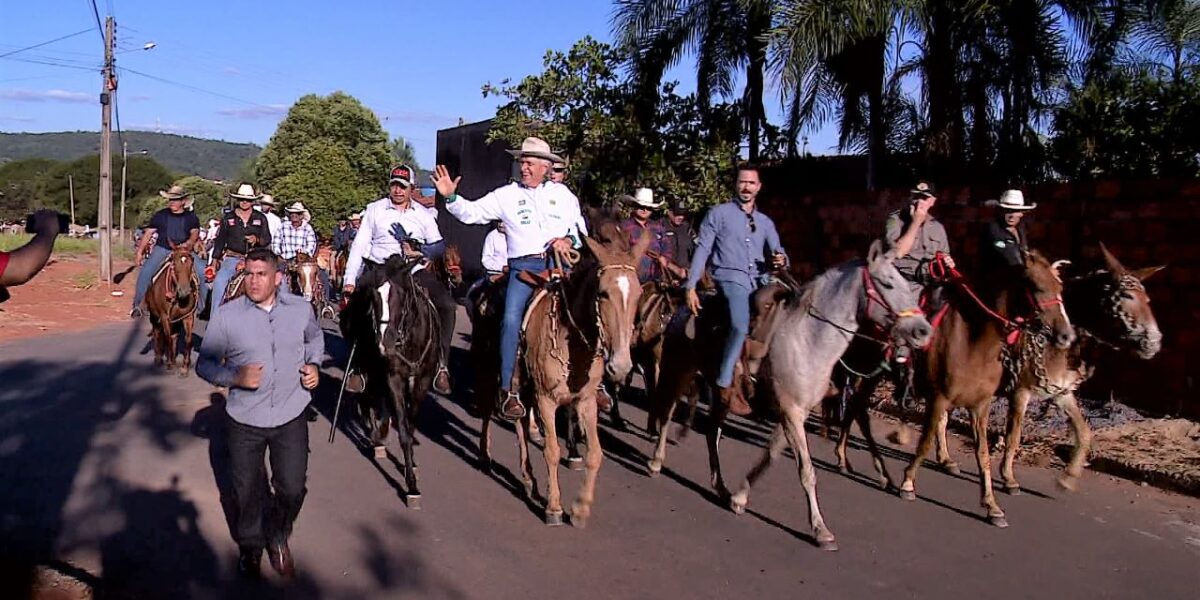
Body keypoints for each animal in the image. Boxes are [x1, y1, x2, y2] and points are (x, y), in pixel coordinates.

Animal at [146, 243, 200, 374]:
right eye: (174, 264)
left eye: (192, 262)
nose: (184, 290)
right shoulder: (164, 317)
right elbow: (167, 338)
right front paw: (169, 363)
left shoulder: (188, 317)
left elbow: (188, 340)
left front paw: (185, 367)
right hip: (154, 316)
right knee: (157, 333)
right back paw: (159, 359)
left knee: (174, 336)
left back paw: (174, 360)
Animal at [724, 241, 931, 549]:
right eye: (887, 283)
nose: (924, 331)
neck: (806, 340)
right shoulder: (792, 412)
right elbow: (807, 471)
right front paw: (820, 530)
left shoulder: (794, 413)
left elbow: (771, 454)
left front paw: (740, 496)